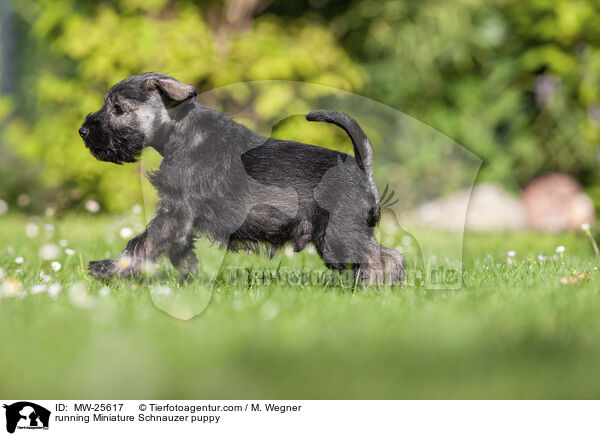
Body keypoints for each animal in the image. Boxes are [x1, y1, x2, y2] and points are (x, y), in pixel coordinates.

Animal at [79, 73, 406, 284]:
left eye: (119, 109)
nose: (83, 131)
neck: (180, 132)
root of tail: (361, 167)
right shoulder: (179, 219)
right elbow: (176, 248)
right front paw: (189, 277)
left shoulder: (175, 212)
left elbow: (140, 243)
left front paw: (109, 270)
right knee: (387, 257)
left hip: (337, 235)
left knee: (381, 259)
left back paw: (371, 288)